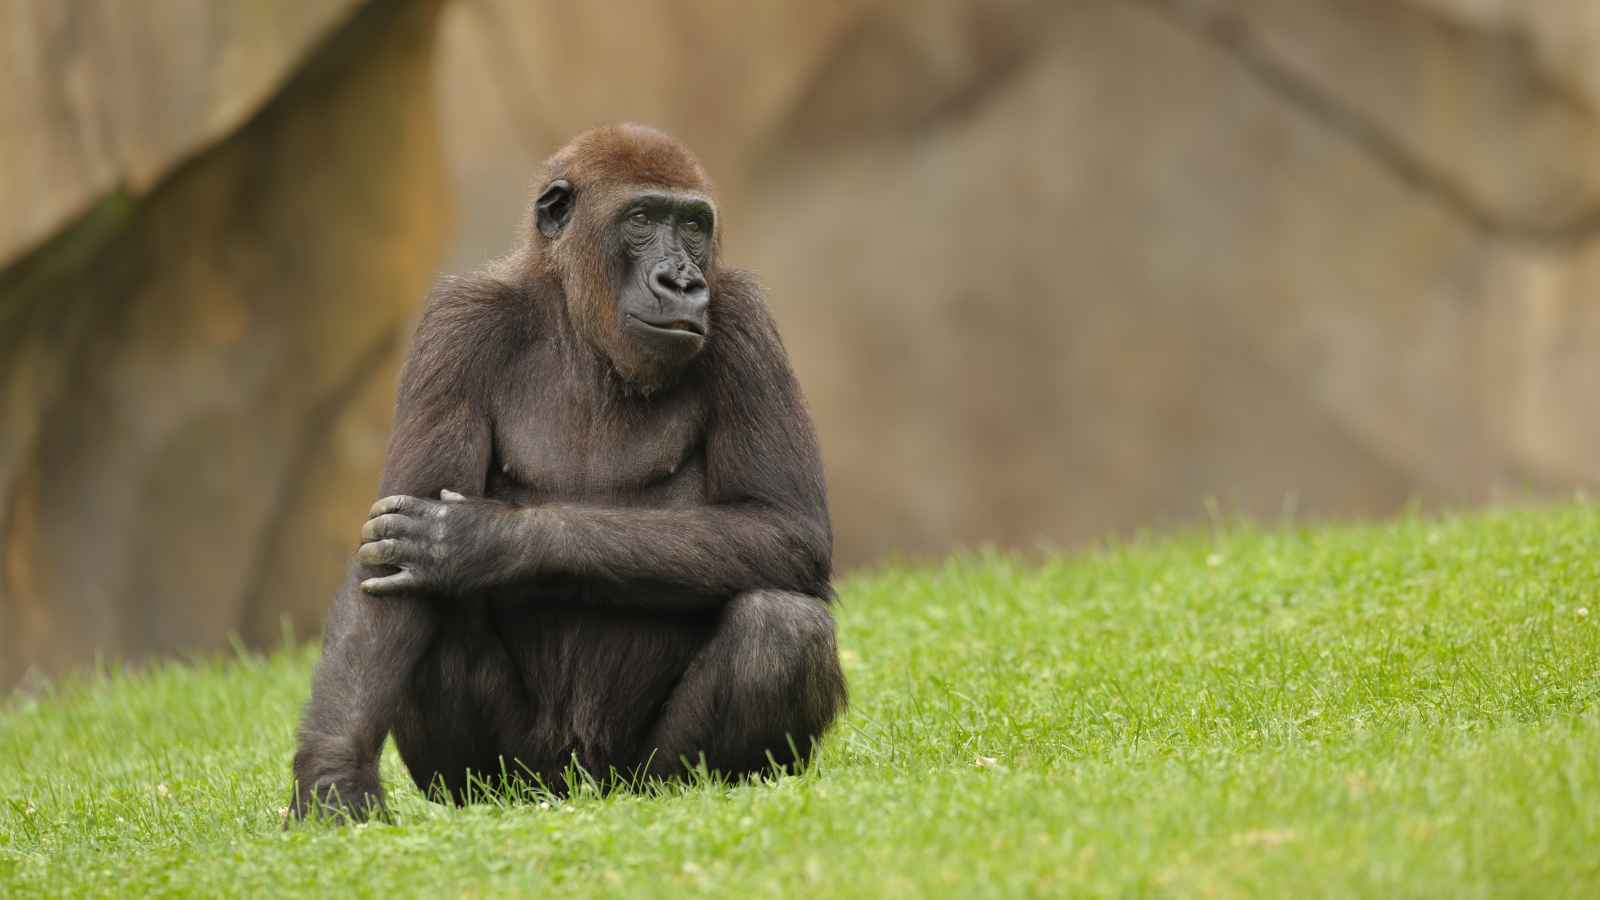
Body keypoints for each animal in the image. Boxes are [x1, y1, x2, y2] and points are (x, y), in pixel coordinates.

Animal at [288, 124, 846, 821]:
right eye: (642, 219)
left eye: (693, 225)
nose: (682, 281)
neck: (577, 316)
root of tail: (583, 787)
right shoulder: (456, 324)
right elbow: (389, 573)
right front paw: (334, 777)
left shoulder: (745, 319)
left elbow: (785, 525)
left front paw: (490, 541)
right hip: (524, 778)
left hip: (641, 777)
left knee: (783, 627)